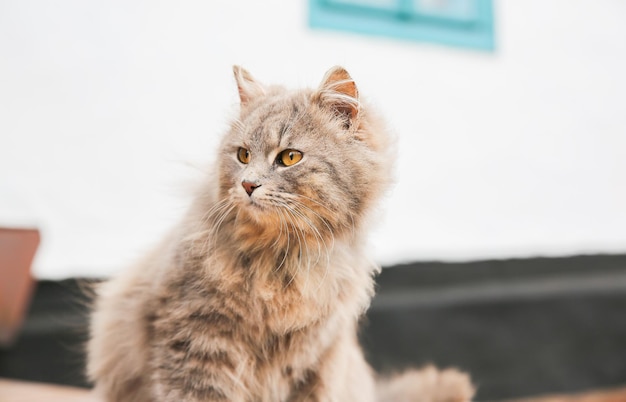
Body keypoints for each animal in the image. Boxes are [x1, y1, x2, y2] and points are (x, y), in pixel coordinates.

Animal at [85, 64, 470, 400]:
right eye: (242, 155)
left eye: (289, 158)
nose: (248, 184)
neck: (278, 260)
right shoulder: (194, 340)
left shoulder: (310, 359)